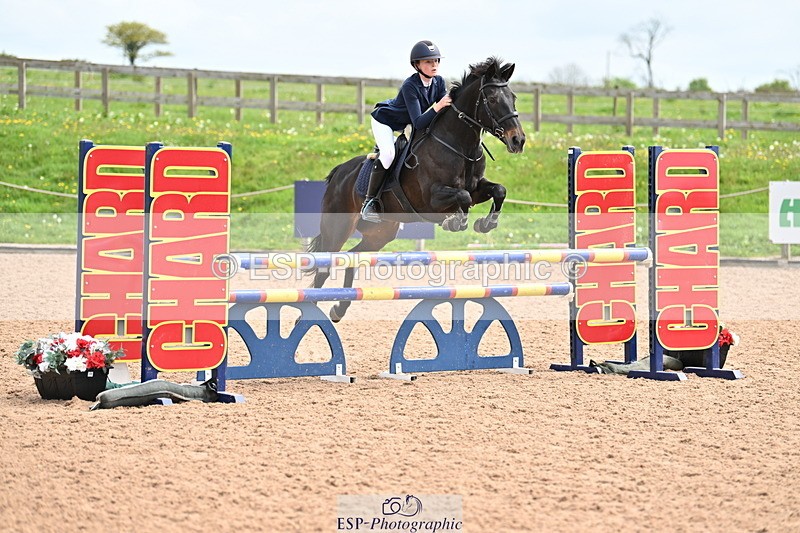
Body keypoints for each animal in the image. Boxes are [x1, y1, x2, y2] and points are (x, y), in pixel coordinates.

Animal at [308, 57, 526, 322]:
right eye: (492, 99)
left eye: (513, 97)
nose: (518, 140)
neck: (459, 145)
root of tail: (338, 173)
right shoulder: (431, 199)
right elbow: (461, 197)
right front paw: (456, 221)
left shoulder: (477, 189)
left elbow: (498, 190)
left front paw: (485, 224)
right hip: (337, 229)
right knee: (324, 268)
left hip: (380, 233)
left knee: (353, 257)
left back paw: (339, 308)